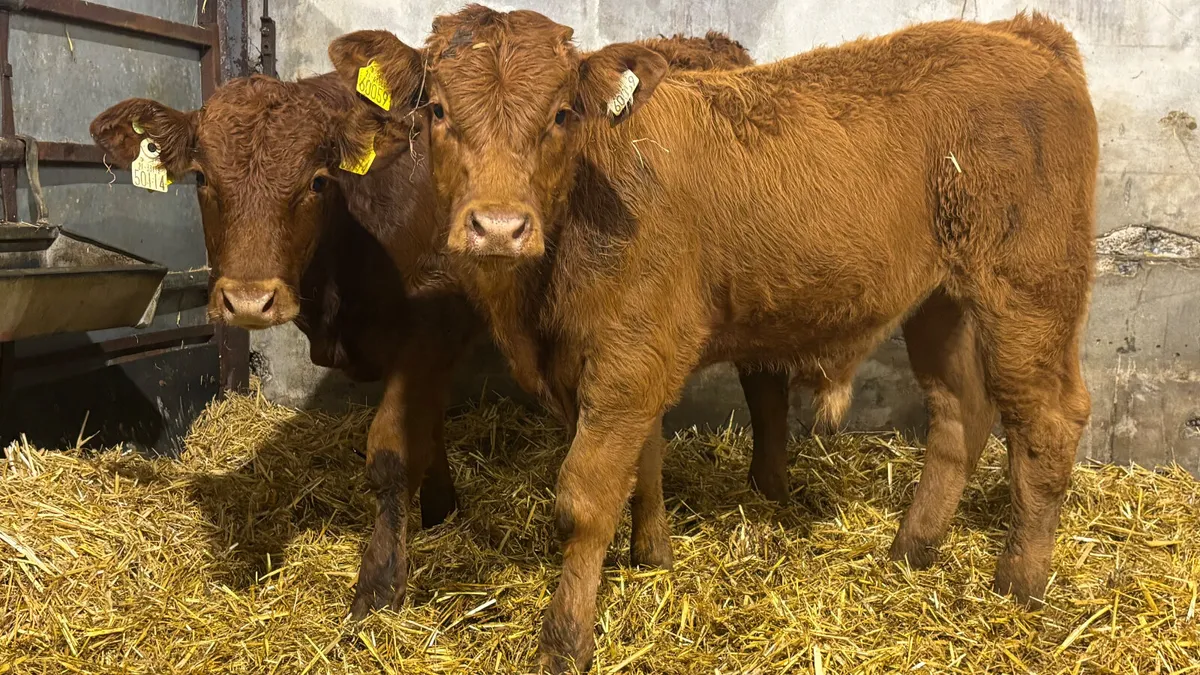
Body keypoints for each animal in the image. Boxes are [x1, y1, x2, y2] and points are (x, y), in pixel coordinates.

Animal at [89, 32, 786, 622]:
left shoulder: (429, 326)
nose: (249, 301)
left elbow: (391, 450)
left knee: (760, 385)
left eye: (316, 180)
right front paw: (439, 510)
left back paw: (763, 495)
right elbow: (426, 429)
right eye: (204, 179)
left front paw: (379, 584)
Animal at [329, 6, 1098, 671]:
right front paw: (651, 557)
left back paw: (1019, 583)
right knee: (959, 410)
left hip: (1032, 287)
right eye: (437, 111)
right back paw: (913, 548)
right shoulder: (624, 363)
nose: (497, 226)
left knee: (1048, 421)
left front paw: (565, 641)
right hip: (941, 301)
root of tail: (1023, 34)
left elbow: (583, 499)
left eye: (560, 114)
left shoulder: (632, 354)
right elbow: (641, 463)